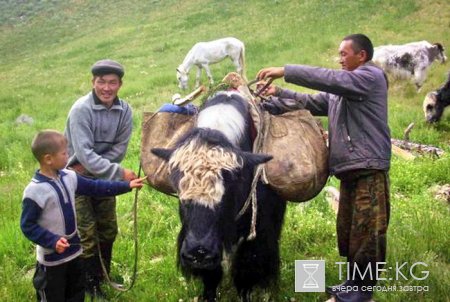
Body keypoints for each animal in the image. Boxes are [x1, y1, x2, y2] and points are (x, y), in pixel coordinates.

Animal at [151, 92, 284, 302]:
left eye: (231, 183)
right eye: (178, 190)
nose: (198, 254)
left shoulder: (258, 231)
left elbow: (246, 273)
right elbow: (211, 278)